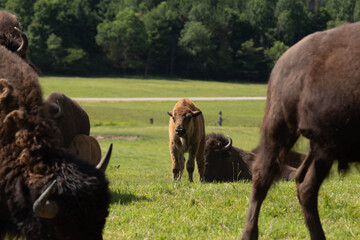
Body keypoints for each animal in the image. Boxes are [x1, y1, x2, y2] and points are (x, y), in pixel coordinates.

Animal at [240, 22, 360, 240]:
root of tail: (283, 60)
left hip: (321, 148)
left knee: (304, 184)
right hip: (280, 129)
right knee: (263, 176)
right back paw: (249, 234)